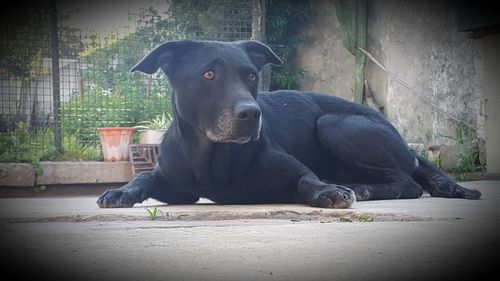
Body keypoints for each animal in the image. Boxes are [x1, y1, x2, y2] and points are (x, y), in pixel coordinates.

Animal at [96, 40, 480, 209]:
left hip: (334, 124)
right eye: (208, 74)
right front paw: (121, 191)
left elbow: (307, 180)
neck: (214, 156)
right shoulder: (179, 188)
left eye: (251, 75)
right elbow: (145, 177)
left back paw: (360, 186)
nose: (251, 114)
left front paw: (327, 191)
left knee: (407, 183)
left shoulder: (295, 169)